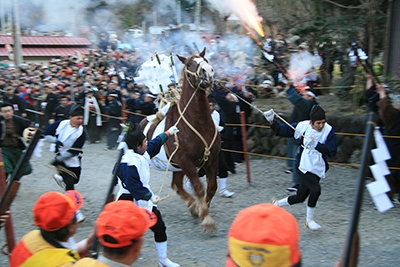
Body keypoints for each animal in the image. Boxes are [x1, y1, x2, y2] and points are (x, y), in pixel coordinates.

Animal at [141, 48, 219, 232]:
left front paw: (202, 208)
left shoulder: (212, 159)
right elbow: (199, 188)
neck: (198, 123)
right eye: (189, 64)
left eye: (205, 60)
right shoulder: (186, 161)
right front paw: (206, 218)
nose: (208, 72)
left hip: (177, 167)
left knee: (177, 185)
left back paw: (193, 206)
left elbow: (212, 187)